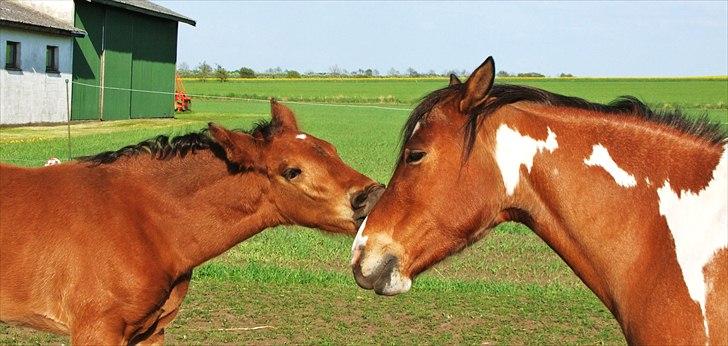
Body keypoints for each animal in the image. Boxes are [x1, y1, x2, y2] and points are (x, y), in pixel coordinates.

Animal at [0, 100, 384, 344]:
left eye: (331, 149)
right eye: (292, 171)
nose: (373, 197)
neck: (140, 220)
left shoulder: (151, 332)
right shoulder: (96, 330)